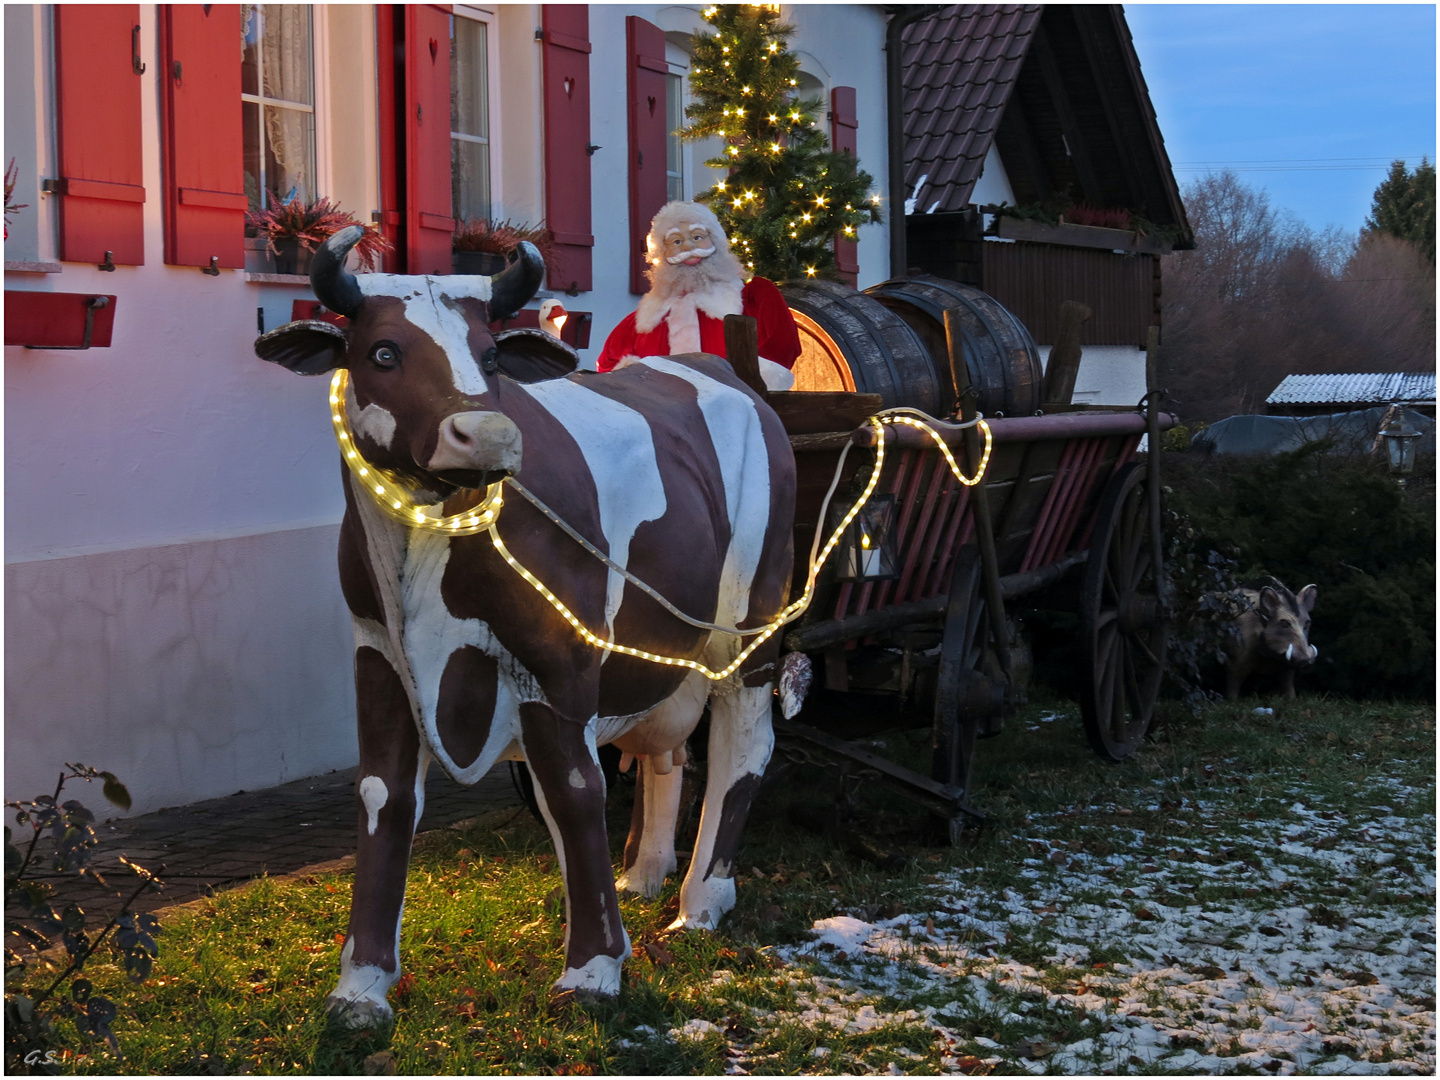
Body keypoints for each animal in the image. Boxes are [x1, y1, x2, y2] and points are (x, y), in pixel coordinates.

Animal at [253, 226, 794, 1025]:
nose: (486, 434)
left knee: (741, 748)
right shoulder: (378, 654)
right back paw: (644, 876)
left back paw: (701, 903)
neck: (426, 546)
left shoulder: (559, 658)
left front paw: (594, 968)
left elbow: (573, 788)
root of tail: (722, 371)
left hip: (749, 626)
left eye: (490, 357)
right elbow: (384, 794)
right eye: (382, 351)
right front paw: (362, 985)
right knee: (667, 755)